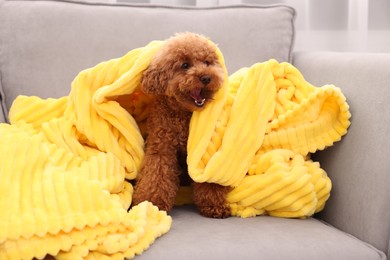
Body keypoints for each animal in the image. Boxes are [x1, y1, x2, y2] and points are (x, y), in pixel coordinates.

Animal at [132, 33, 232, 218]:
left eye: (207, 62)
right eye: (185, 65)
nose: (206, 77)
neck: (182, 114)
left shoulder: (202, 154)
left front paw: (214, 205)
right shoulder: (161, 148)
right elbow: (156, 176)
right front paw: (152, 204)